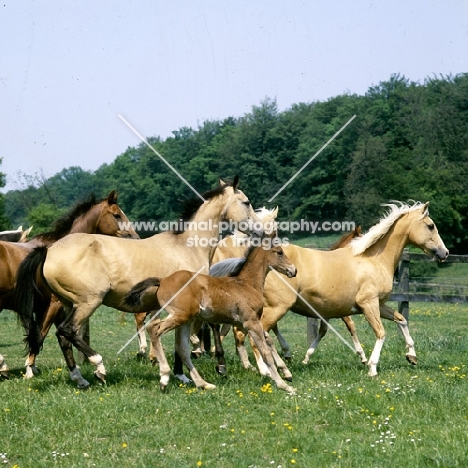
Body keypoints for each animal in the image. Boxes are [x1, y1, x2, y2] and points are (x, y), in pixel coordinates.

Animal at [0, 192, 139, 378]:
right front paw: (29, 370)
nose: (135, 238)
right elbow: (41, 334)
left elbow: (55, 336)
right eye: (117, 215)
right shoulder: (53, 305)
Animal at [16, 176, 256, 388]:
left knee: (63, 337)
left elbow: (180, 342)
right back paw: (98, 367)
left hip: (67, 304)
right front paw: (215, 367)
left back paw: (80, 379)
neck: (188, 245)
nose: (259, 229)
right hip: (88, 302)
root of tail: (48, 250)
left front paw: (182, 375)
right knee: (67, 331)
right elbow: (196, 333)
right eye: (246, 202)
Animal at [122, 243, 298, 394]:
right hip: (181, 316)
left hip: (185, 321)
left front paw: (286, 373)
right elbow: (265, 351)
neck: (247, 283)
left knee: (182, 348)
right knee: (154, 329)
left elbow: (268, 341)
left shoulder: (248, 323)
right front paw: (284, 385)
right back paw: (164, 378)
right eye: (279, 252)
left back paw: (203, 384)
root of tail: (163, 280)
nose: (293, 270)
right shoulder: (251, 322)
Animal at [243, 201, 448, 376]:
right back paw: (267, 370)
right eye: (431, 225)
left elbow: (401, 319)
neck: (374, 260)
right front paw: (372, 367)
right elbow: (381, 333)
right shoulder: (368, 305)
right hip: (276, 308)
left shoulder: (378, 305)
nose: (444, 253)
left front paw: (411, 355)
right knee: (255, 337)